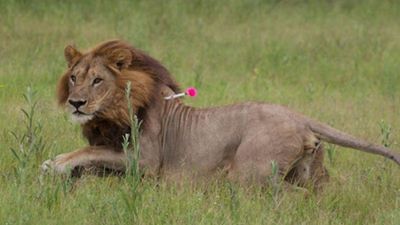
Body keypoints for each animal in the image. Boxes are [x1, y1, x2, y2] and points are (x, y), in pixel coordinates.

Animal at [41, 40, 400, 188]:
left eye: (97, 80)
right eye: (74, 77)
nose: (75, 103)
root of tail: (300, 116)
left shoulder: (145, 161)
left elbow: (88, 151)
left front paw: (55, 164)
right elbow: (92, 160)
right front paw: (60, 168)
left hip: (249, 175)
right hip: (311, 173)